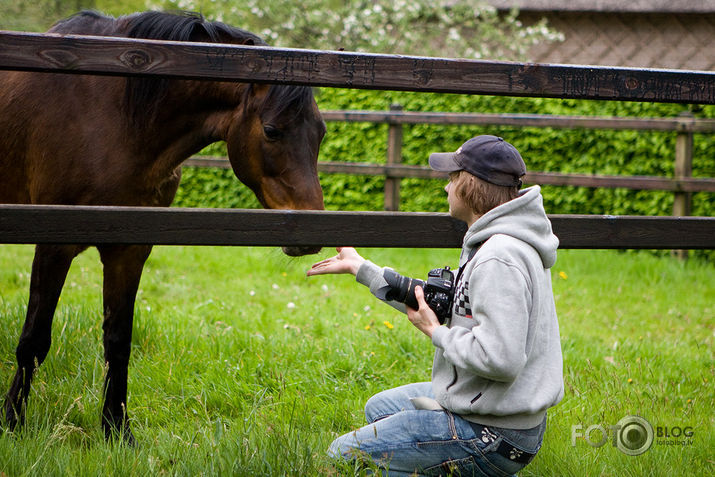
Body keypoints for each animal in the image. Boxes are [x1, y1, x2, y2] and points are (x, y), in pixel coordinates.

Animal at [0, 10, 328, 442]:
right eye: (272, 130)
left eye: (321, 132)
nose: (312, 232)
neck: (115, 116)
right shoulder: (54, 243)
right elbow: (34, 339)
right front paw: (13, 423)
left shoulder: (130, 248)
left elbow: (118, 341)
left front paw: (116, 430)